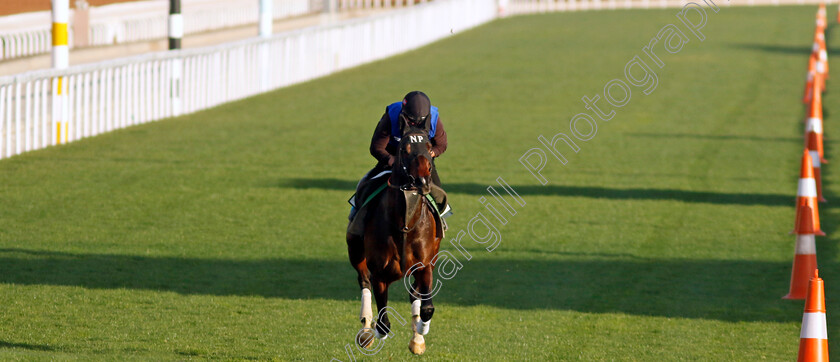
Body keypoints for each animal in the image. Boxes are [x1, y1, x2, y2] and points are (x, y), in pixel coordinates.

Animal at [344, 126, 442, 354]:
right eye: (404, 149)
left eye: (429, 146)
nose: (422, 182)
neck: (404, 225)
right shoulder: (380, 271)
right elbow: (383, 323)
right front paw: (373, 331)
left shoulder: (425, 265)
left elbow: (427, 306)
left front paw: (420, 333)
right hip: (355, 248)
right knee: (364, 280)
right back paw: (366, 330)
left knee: (414, 294)